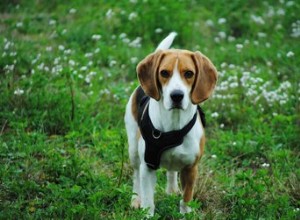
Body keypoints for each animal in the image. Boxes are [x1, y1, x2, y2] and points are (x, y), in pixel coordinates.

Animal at [124, 32, 218, 217]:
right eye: (164, 73)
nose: (177, 95)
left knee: (172, 171)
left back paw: (172, 190)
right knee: (136, 176)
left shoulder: (191, 168)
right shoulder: (148, 166)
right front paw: (147, 215)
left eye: (189, 73)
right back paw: (135, 199)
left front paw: (185, 214)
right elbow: (148, 201)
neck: (174, 125)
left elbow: (186, 199)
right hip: (133, 150)